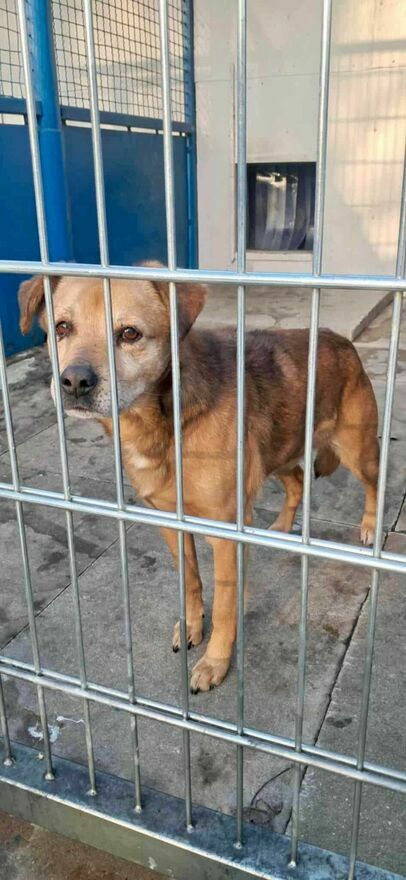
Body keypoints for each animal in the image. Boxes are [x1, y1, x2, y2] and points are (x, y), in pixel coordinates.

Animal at [19, 265, 379, 692]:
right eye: (61, 328)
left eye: (130, 334)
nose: (73, 382)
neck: (164, 423)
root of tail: (341, 340)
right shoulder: (170, 522)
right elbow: (190, 580)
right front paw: (191, 626)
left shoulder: (226, 534)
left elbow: (225, 608)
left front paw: (215, 663)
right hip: (276, 450)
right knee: (297, 480)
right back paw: (280, 527)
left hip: (356, 448)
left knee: (373, 483)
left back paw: (370, 528)